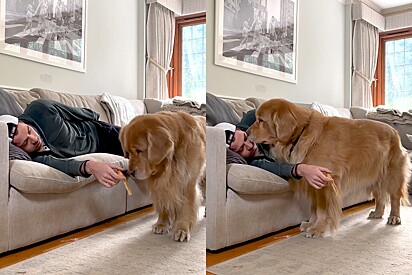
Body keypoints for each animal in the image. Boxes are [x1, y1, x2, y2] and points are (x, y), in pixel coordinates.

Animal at [119, 111, 206, 243]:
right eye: (128, 153)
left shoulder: (188, 183)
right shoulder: (159, 184)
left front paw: (182, 229)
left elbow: (186, 208)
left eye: (139, 150)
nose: (130, 172)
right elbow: (164, 203)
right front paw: (162, 224)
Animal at [246, 99, 410, 239]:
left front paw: (317, 228)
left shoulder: (324, 181)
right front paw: (311, 224)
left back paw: (394, 217)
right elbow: (314, 208)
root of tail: (394, 132)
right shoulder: (313, 180)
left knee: (395, 197)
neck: (302, 133)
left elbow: (321, 209)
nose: (246, 133)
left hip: (392, 175)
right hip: (373, 175)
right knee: (380, 196)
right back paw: (377, 213)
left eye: (261, 120)